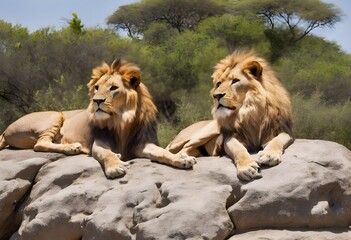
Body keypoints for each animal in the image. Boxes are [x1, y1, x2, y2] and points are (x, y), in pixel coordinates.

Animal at [0, 58, 197, 178]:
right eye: (96, 87)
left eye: (113, 88)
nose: (96, 101)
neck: (122, 120)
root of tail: (5, 130)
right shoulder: (100, 142)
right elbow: (106, 154)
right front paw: (115, 167)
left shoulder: (142, 143)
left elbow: (162, 152)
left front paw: (181, 158)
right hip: (54, 115)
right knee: (39, 144)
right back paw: (72, 147)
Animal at [168, 49, 294, 181]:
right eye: (218, 84)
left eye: (235, 81)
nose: (216, 96)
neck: (251, 112)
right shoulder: (230, 137)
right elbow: (238, 149)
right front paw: (247, 168)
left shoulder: (283, 131)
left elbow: (278, 139)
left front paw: (269, 155)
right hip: (202, 134)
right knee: (180, 149)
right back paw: (183, 159)